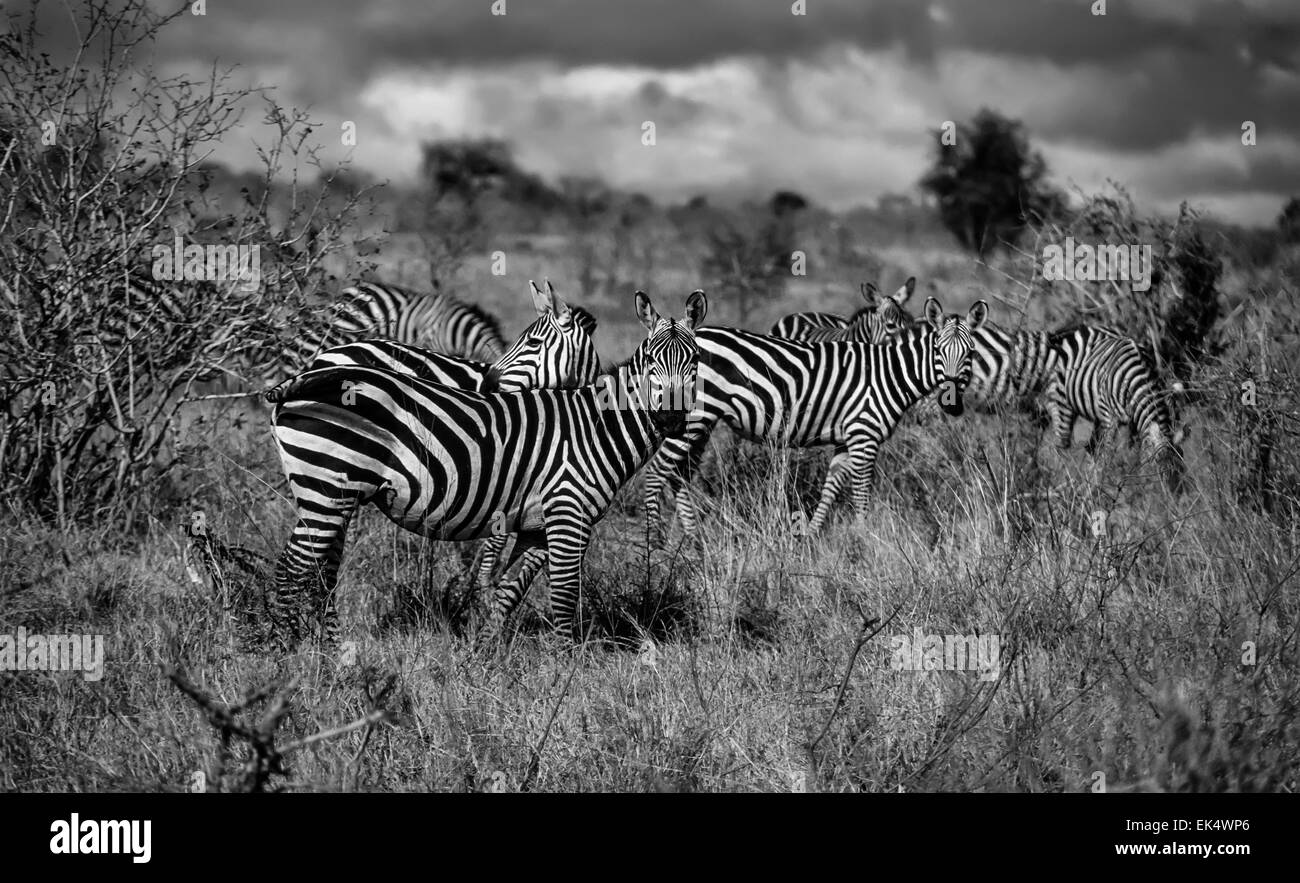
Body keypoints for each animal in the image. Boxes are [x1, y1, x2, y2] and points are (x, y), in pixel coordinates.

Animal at [267, 289, 707, 646]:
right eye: (650, 360)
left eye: (696, 362)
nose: (671, 419)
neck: (594, 427)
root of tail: (313, 370)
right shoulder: (568, 514)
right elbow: (563, 597)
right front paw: (567, 670)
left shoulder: (536, 525)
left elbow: (509, 590)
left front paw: (483, 653)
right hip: (325, 490)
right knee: (291, 571)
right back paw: (287, 654)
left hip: (331, 495)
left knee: (320, 572)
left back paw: (328, 648)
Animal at [643, 296, 988, 541]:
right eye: (939, 351)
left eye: (970, 354)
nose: (952, 404)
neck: (891, 375)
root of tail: (692, 332)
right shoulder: (864, 436)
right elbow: (861, 494)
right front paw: (863, 540)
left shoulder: (847, 440)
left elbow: (831, 488)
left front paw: (810, 536)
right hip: (693, 419)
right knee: (657, 472)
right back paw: (656, 544)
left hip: (701, 422)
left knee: (679, 474)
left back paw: (693, 539)